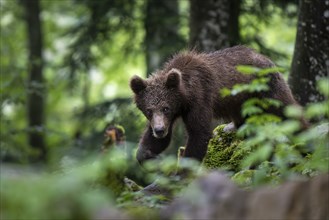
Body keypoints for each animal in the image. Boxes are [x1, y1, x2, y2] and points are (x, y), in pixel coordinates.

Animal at [130, 45, 302, 164]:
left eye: (166, 108)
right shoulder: (172, 114)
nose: (159, 130)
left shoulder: (199, 99)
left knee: (287, 111)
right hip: (242, 102)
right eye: (149, 110)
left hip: (265, 88)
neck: (185, 96)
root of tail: (265, 57)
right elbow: (154, 141)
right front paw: (150, 155)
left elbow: (199, 133)